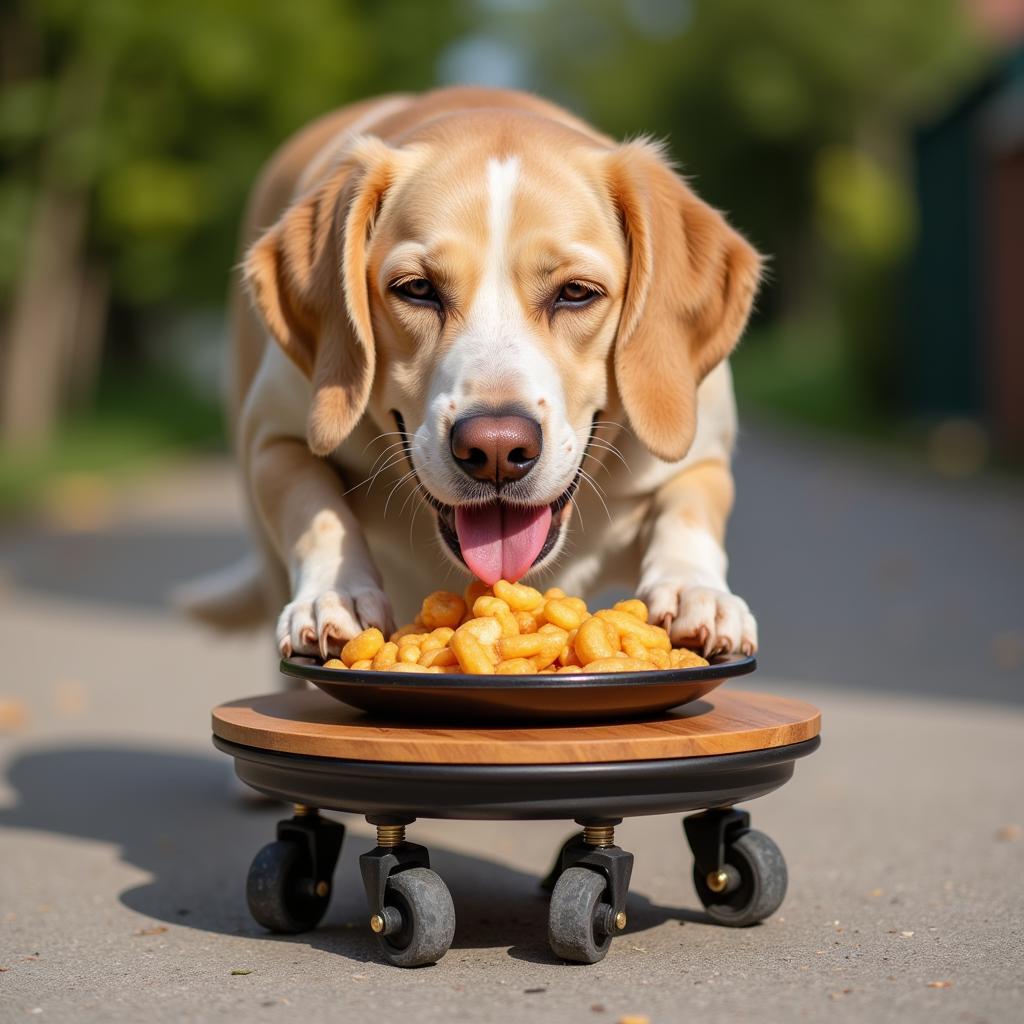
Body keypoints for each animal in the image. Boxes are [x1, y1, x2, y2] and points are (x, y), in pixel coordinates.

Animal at [186, 90, 761, 663]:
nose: (497, 449)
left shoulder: (705, 449)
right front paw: (336, 593)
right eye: (417, 288)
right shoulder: (272, 438)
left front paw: (695, 591)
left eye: (576, 292)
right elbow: (317, 509)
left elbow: (687, 508)